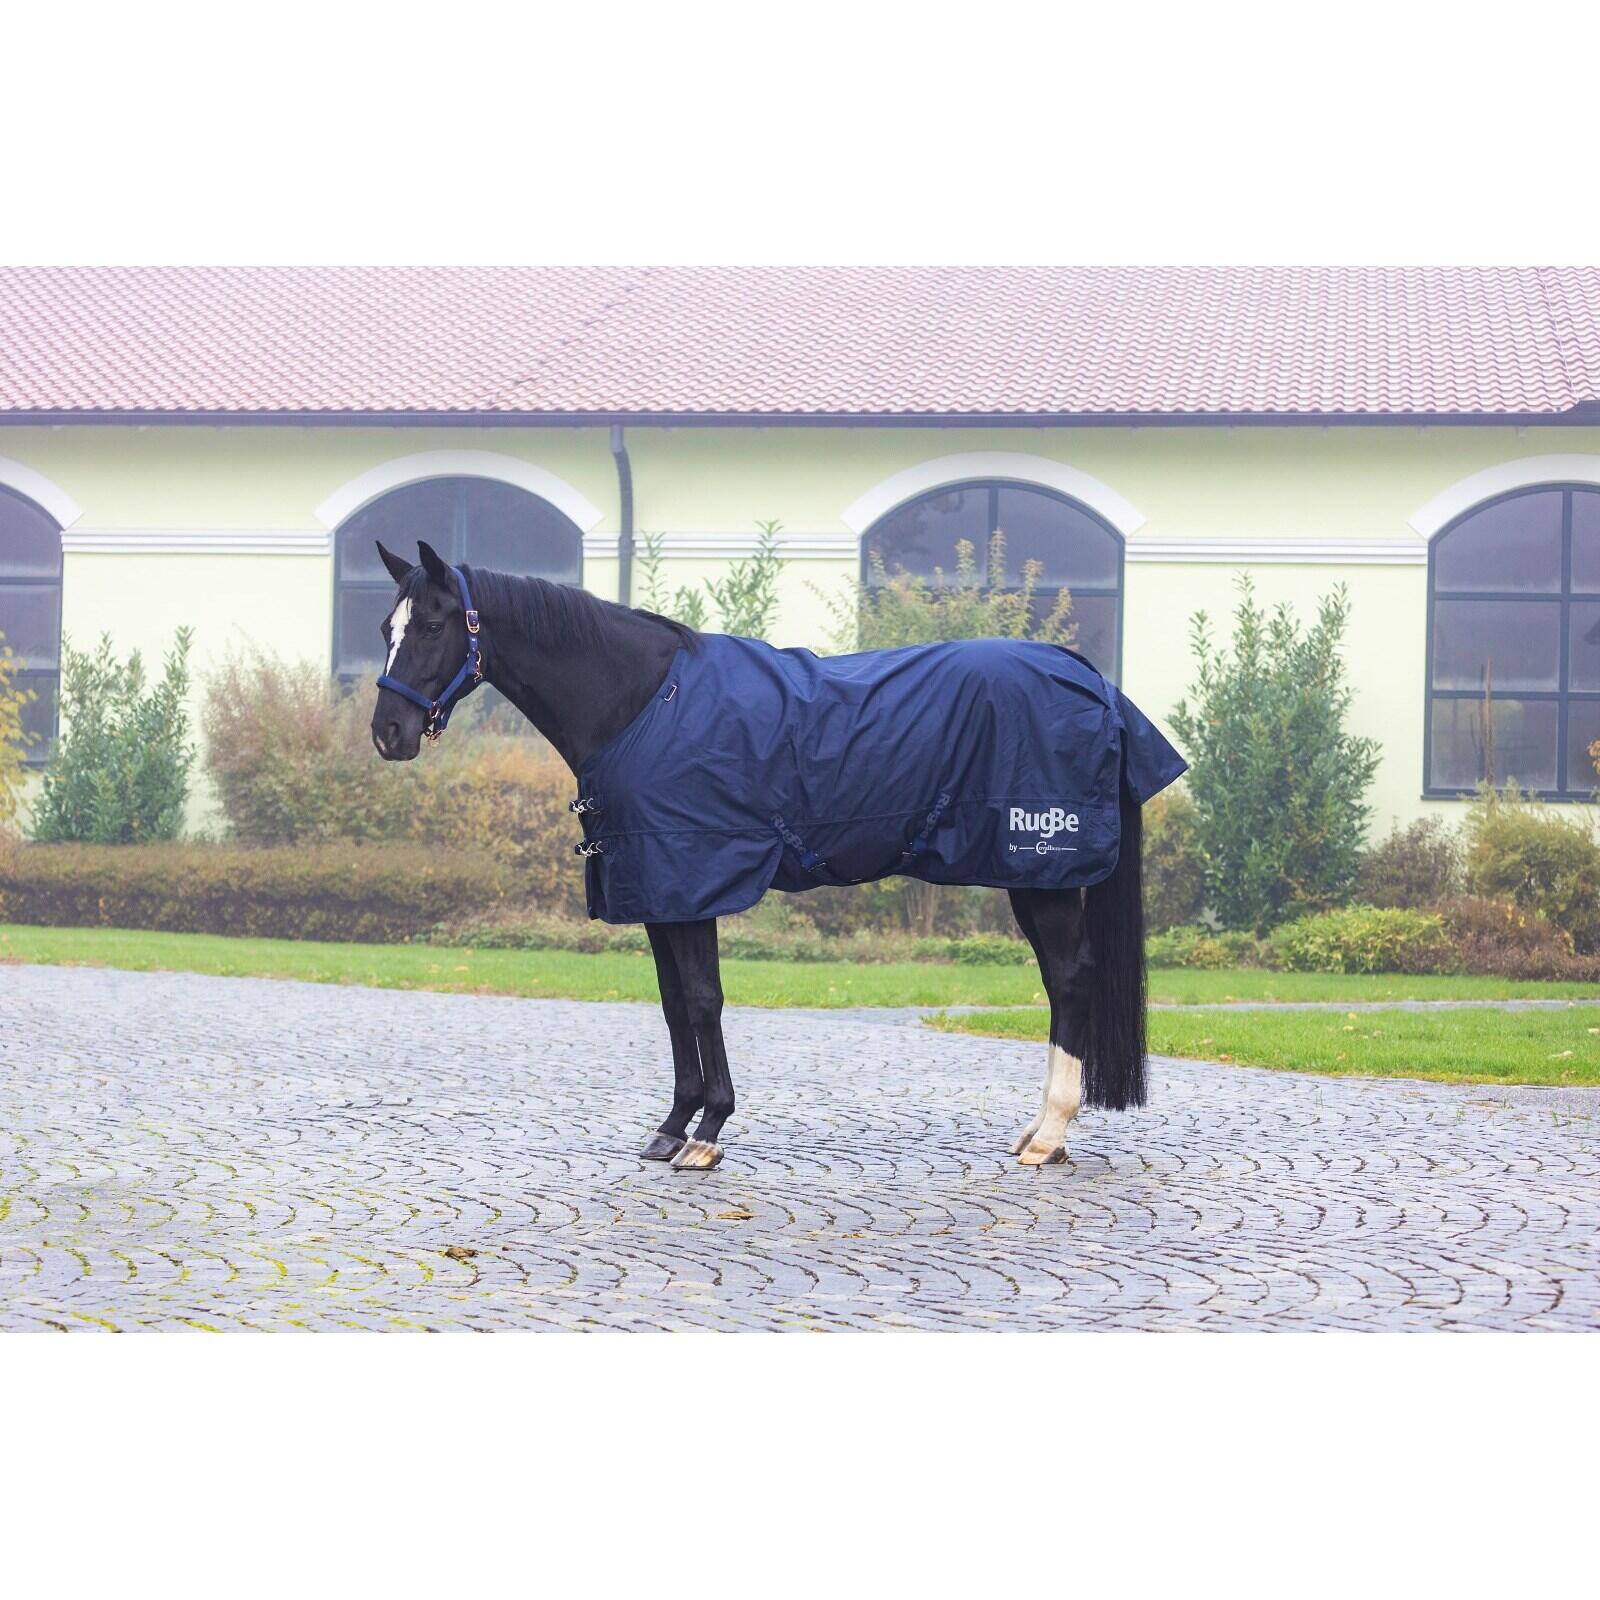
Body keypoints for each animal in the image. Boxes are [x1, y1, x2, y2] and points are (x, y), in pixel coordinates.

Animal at [369, 539, 1186, 1173]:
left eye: (434, 624)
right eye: (386, 626)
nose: (388, 734)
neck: (642, 703)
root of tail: (1091, 680)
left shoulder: (693, 879)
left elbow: (704, 1000)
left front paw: (707, 1133)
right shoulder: (656, 888)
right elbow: (673, 1005)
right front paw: (670, 1128)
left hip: (1042, 872)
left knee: (1070, 982)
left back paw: (1048, 1136)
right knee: (1060, 984)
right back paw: (1039, 1131)